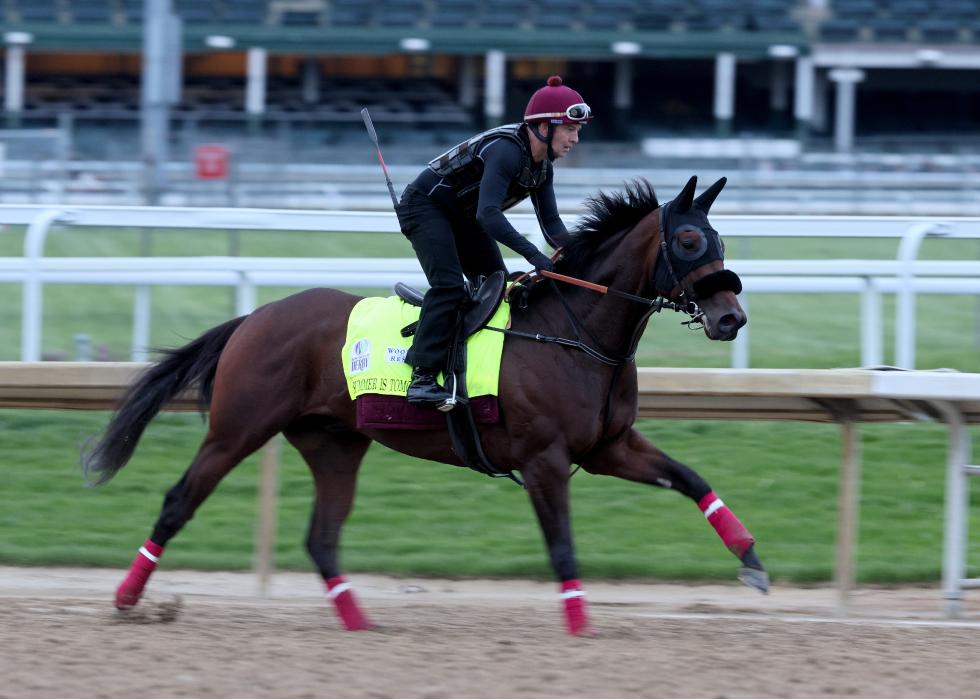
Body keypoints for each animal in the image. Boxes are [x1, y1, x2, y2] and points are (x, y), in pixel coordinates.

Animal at [82, 174, 764, 636]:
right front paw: (578, 624)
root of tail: (256, 316)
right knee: (179, 502)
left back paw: (359, 622)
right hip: (238, 428)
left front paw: (752, 561)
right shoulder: (545, 460)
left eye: (721, 239)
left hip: (334, 442)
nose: (731, 317)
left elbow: (692, 479)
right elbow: (562, 544)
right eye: (687, 239)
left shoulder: (609, 447)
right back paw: (125, 599)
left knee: (322, 538)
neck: (577, 333)